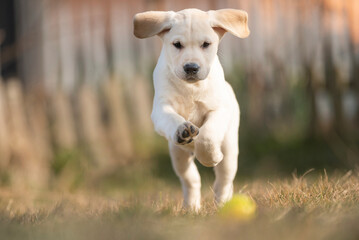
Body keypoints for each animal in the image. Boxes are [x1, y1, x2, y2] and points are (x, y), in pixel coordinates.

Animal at [134, 8, 250, 210]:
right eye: (177, 44)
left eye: (206, 44)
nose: (191, 67)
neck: (191, 88)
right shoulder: (161, 109)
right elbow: (172, 119)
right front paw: (184, 130)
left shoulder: (218, 110)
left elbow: (207, 136)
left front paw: (210, 157)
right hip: (178, 155)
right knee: (191, 180)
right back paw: (191, 208)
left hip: (229, 151)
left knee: (223, 181)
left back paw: (222, 203)